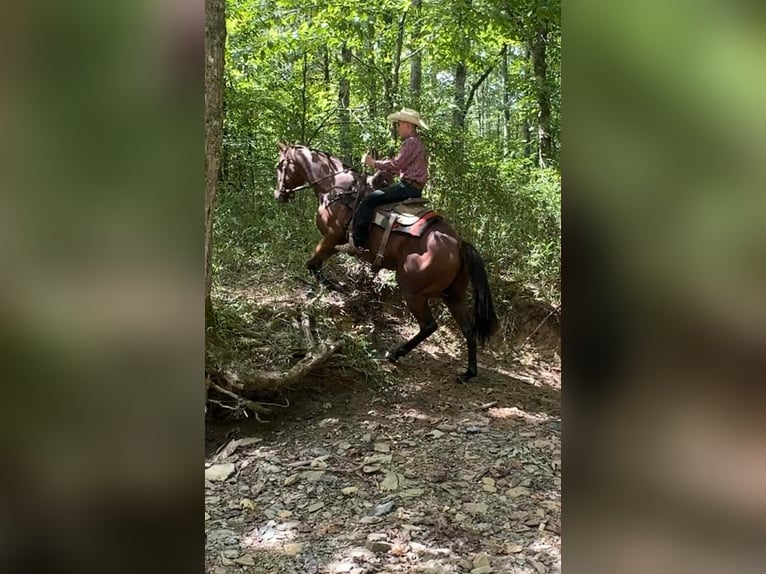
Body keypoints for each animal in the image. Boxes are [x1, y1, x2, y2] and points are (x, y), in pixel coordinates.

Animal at [274, 143, 498, 382]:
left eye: (280, 165)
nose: (278, 194)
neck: (335, 187)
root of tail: (458, 245)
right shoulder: (333, 241)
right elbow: (315, 264)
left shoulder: (332, 237)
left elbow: (313, 264)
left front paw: (337, 287)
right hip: (452, 295)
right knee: (468, 328)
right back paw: (468, 372)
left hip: (413, 292)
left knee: (429, 325)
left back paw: (395, 354)